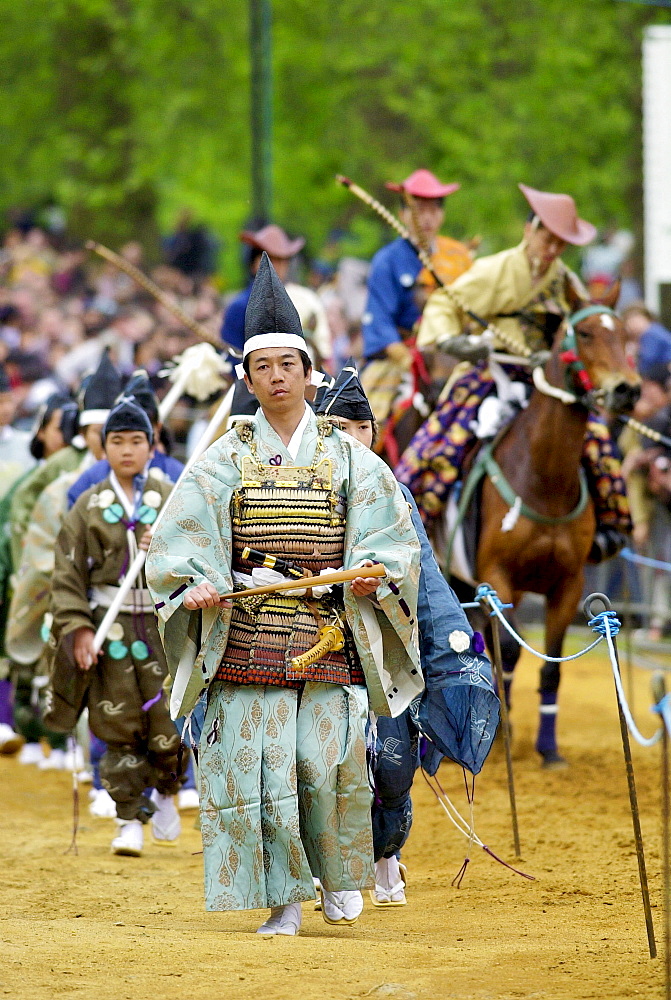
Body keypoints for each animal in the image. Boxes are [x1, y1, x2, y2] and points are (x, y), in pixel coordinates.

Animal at [446, 286, 640, 768]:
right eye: (585, 333)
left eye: (624, 333)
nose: (627, 389)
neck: (543, 481)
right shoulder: (495, 576)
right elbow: (512, 650)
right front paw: (500, 733)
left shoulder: (568, 584)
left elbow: (551, 664)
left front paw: (548, 750)